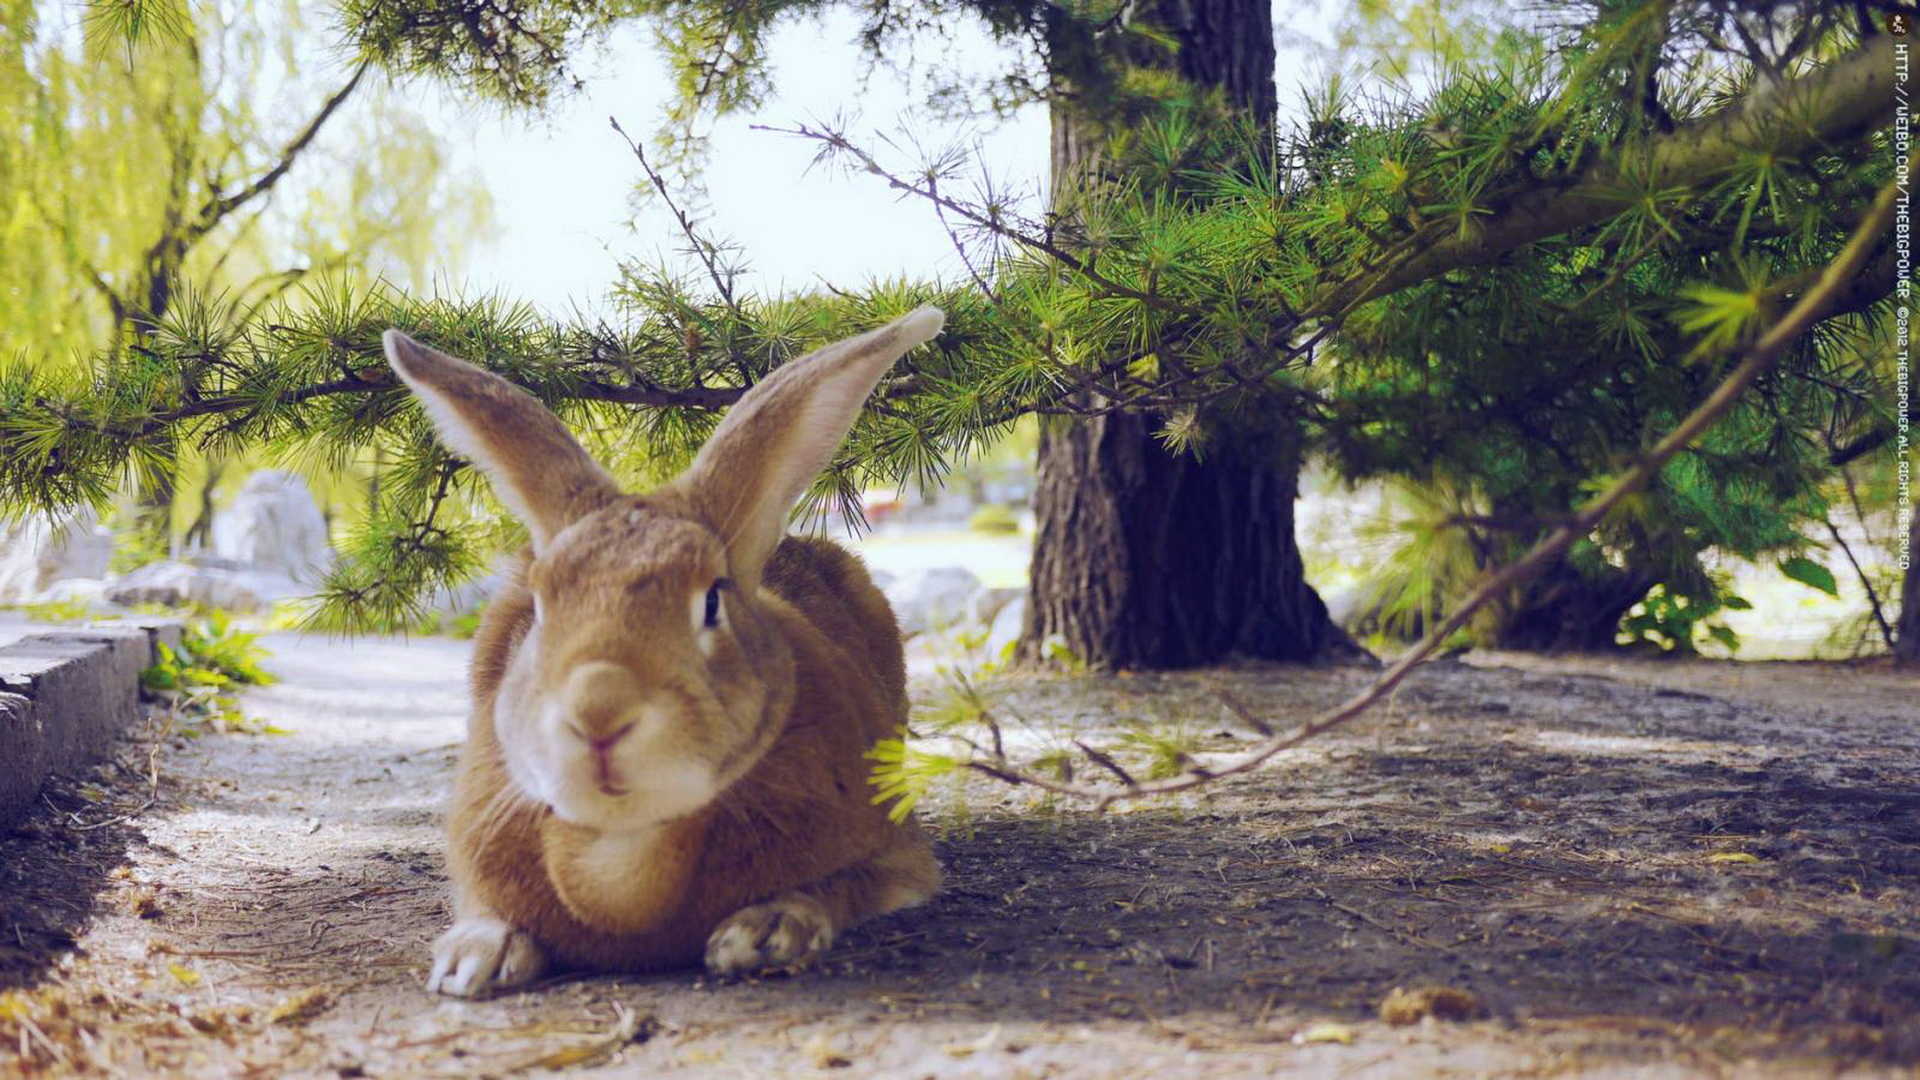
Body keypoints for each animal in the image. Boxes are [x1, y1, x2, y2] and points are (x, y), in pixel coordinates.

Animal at [378, 303, 948, 991]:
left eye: (711, 603)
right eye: (537, 608)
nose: (599, 711)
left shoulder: (896, 853)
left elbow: (843, 885)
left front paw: (766, 931)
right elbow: (482, 907)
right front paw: (475, 959)